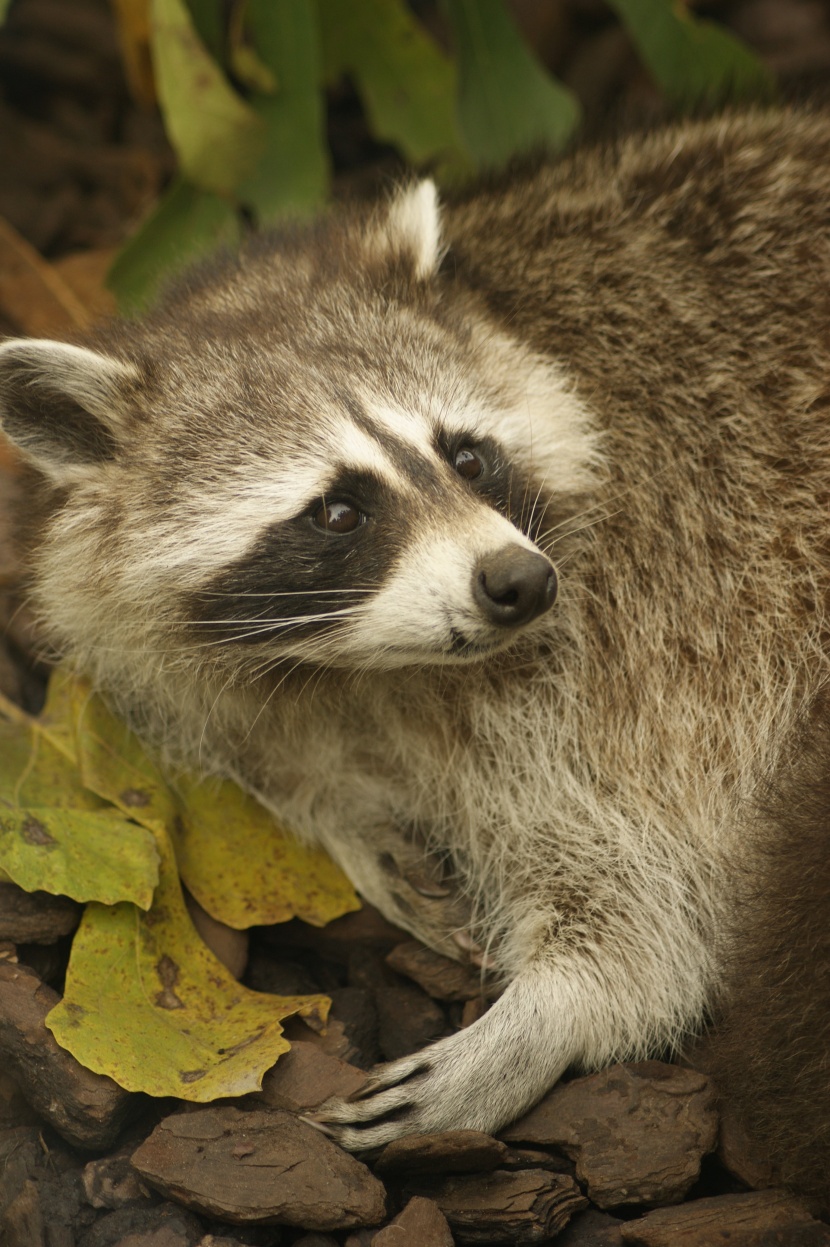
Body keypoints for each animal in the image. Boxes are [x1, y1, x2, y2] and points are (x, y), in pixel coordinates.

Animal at [1, 102, 827, 1182]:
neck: (364, 665)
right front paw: (344, 814)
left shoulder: (648, 633)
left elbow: (647, 899)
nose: (518, 583)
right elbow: (270, 751)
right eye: (339, 511)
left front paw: (547, 1014)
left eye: (467, 456)